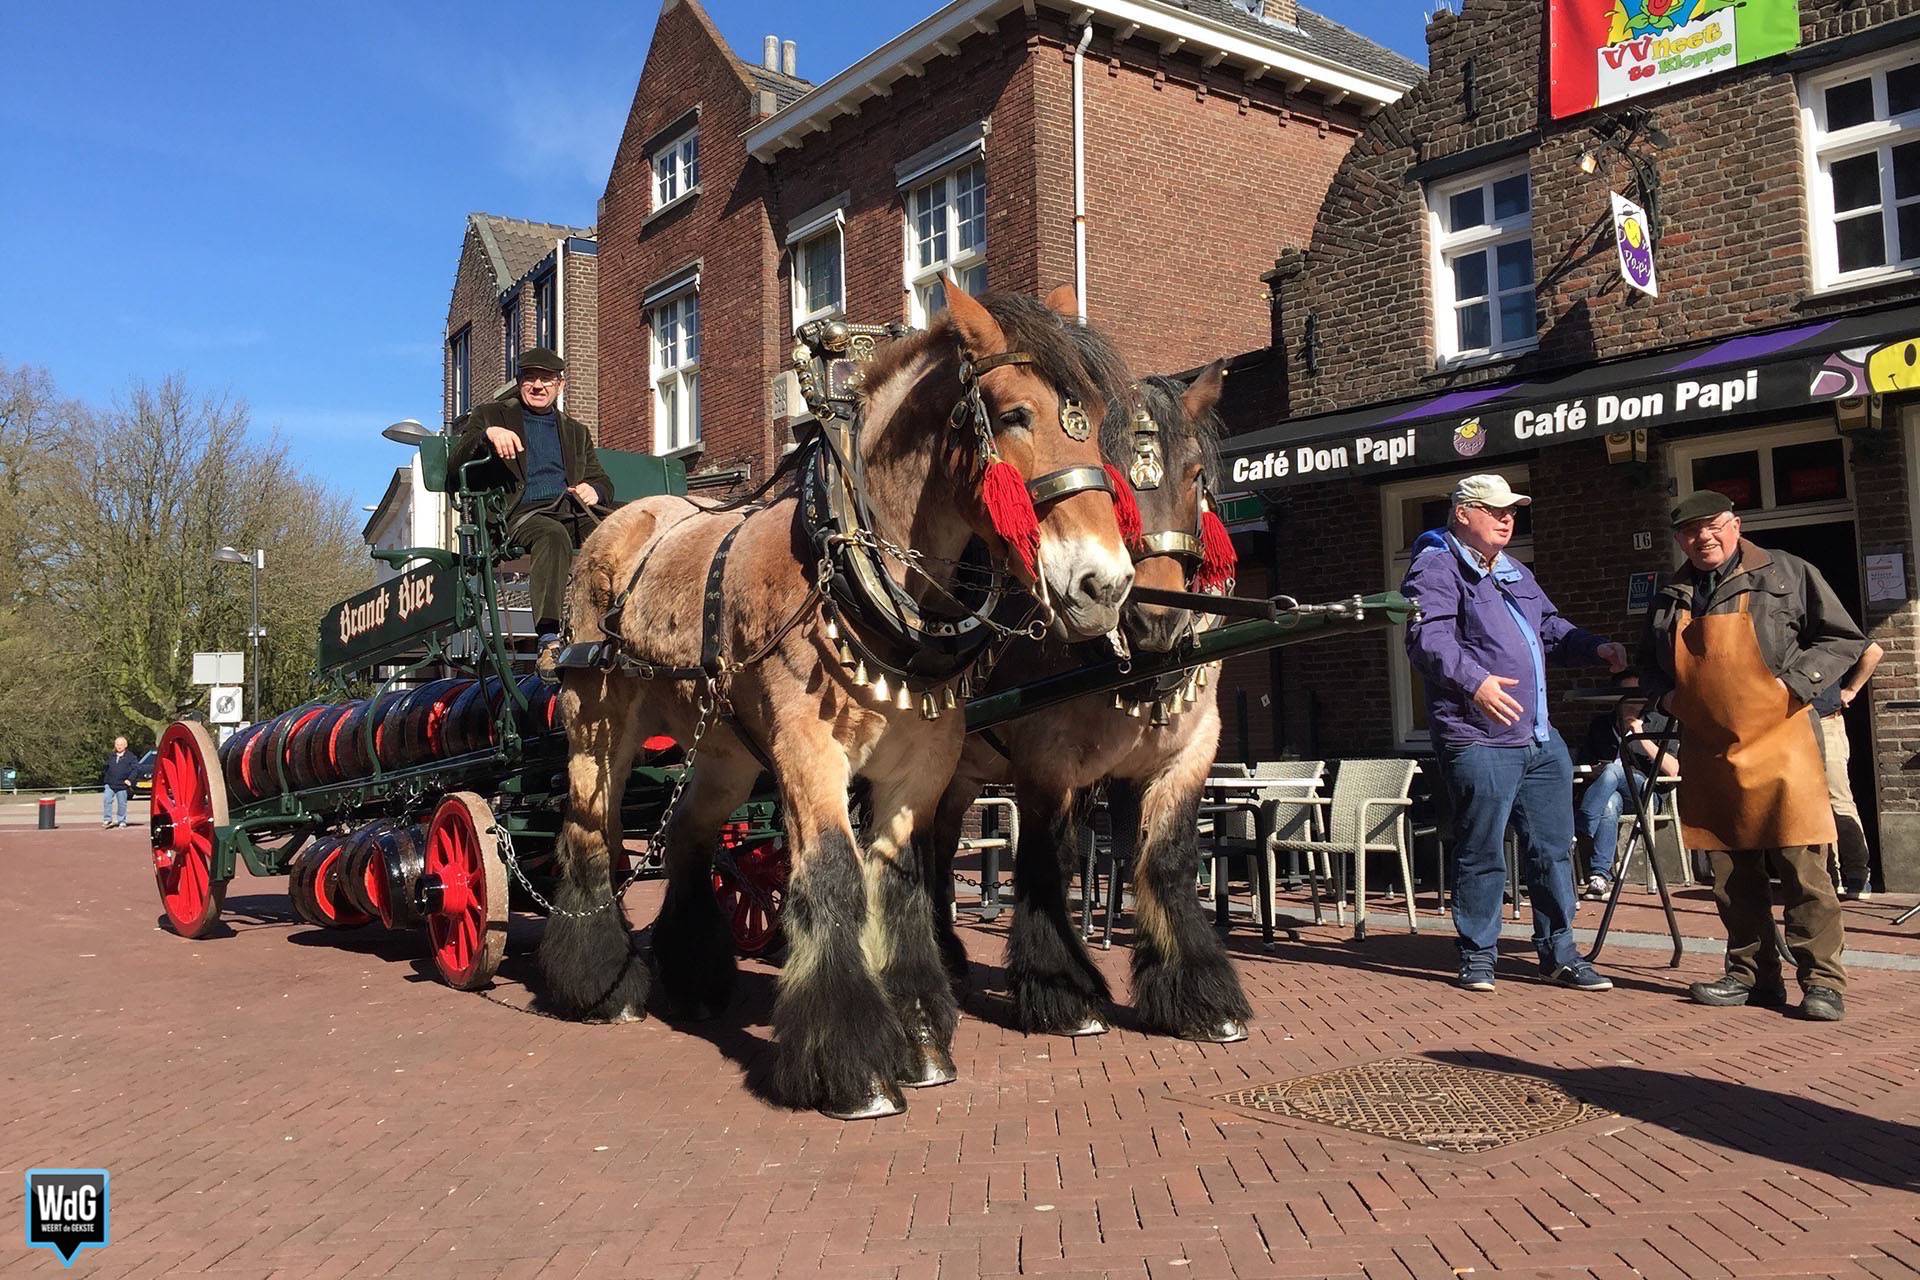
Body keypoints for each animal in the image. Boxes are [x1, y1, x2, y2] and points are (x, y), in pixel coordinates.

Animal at [541, 285, 1128, 1113]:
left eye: (1097, 420)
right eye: (1016, 414)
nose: (1105, 584)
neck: (851, 565)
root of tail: (615, 522)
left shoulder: (920, 768)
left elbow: (899, 882)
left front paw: (919, 1037)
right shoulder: (808, 751)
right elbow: (832, 876)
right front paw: (850, 1062)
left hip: (721, 751)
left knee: (687, 835)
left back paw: (695, 978)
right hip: (599, 722)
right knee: (589, 832)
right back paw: (601, 983)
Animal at [921, 358, 1251, 1043]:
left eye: (1195, 473)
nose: (1154, 617)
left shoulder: (1188, 755)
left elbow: (1166, 859)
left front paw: (1199, 993)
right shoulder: (1047, 765)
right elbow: (1050, 861)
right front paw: (1064, 992)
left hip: (962, 774)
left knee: (938, 843)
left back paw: (949, 952)